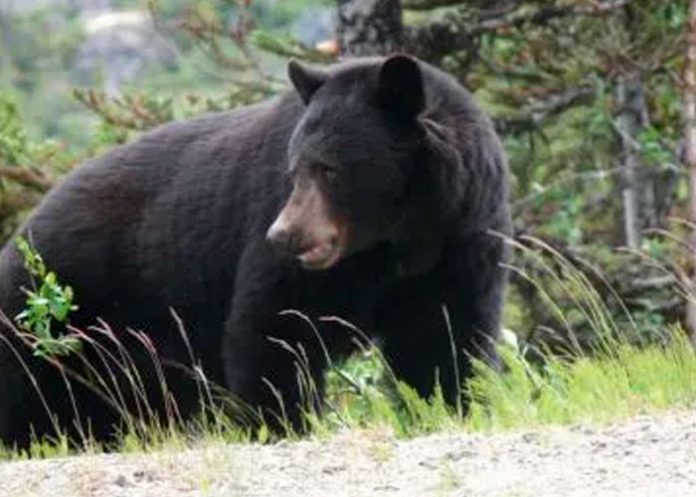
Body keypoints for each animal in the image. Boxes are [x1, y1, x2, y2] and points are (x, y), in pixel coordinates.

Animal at [0, 54, 511, 449]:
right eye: (294, 168)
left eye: (329, 168)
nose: (283, 235)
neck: (397, 238)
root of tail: (21, 234)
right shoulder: (298, 253)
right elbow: (276, 325)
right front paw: (282, 422)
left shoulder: (461, 239)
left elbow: (443, 335)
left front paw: (452, 404)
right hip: (50, 309)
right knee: (24, 383)